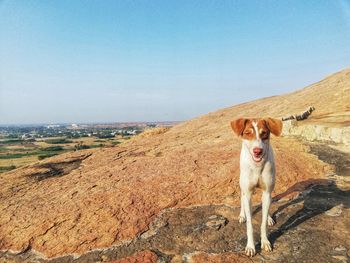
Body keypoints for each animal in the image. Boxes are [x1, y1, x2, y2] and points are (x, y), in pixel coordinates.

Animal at [231, 118, 284, 258]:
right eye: (248, 133)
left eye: (264, 133)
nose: (257, 151)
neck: (257, 166)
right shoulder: (248, 193)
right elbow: (250, 224)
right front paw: (250, 246)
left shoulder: (266, 192)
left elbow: (263, 222)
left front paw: (265, 241)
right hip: (242, 185)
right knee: (242, 198)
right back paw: (242, 215)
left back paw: (270, 217)